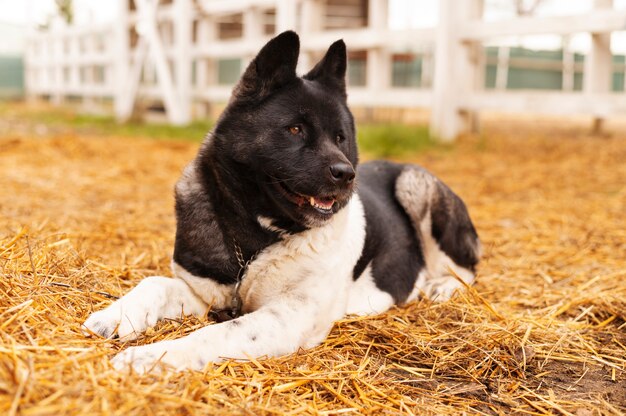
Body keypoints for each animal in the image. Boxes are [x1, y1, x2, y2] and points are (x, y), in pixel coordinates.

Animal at [81, 30, 478, 372]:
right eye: (295, 129)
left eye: (340, 137)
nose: (346, 174)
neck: (258, 234)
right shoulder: (204, 292)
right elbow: (154, 284)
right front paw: (116, 316)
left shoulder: (287, 316)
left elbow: (215, 333)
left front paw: (151, 357)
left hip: (416, 184)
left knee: (466, 271)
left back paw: (441, 285)